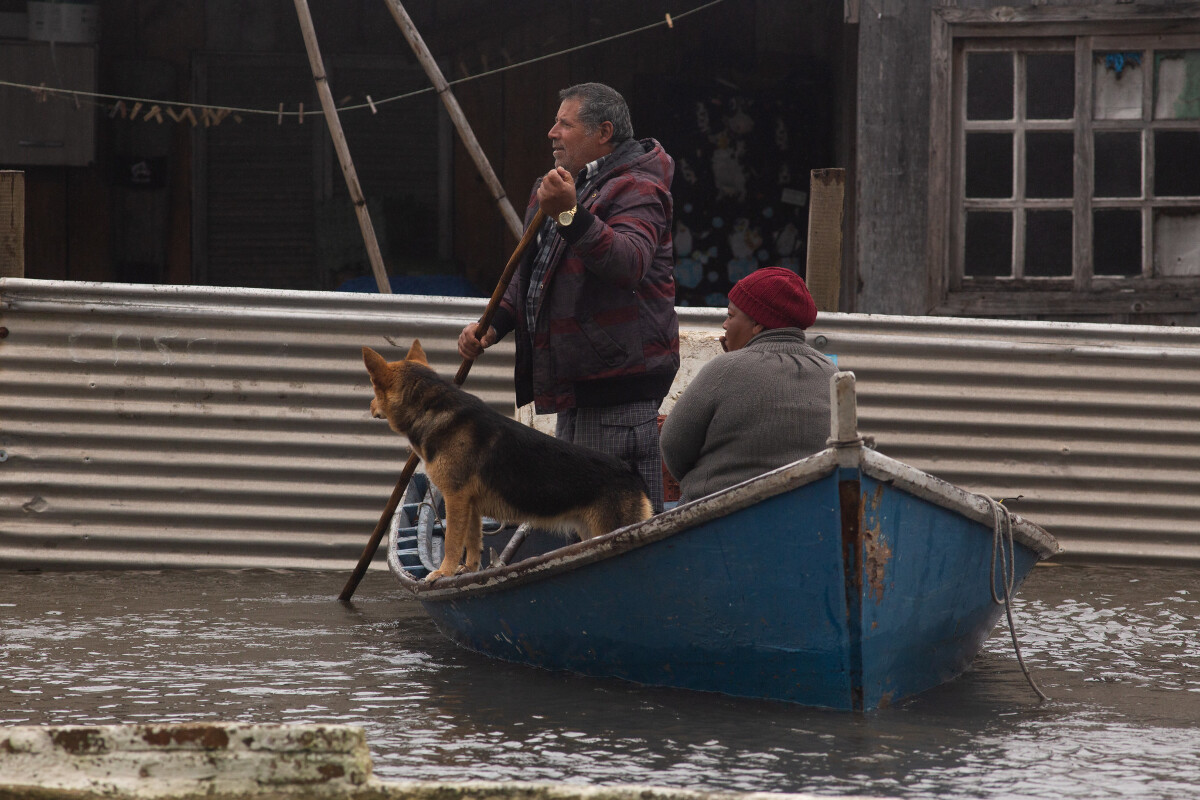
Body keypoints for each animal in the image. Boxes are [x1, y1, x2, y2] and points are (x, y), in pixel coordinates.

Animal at [360, 340, 652, 582]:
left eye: (373, 384)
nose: (370, 406)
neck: (430, 408)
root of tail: (630, 471)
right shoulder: (470, 504)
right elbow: (472, 541)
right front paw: (468, 570)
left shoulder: (456, 498)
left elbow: (453, 541)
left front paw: (443, 572)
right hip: (592, 533)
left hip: (610, 528)